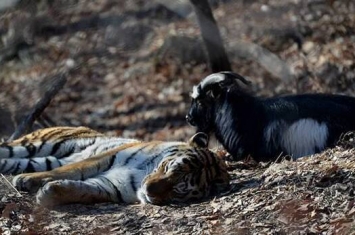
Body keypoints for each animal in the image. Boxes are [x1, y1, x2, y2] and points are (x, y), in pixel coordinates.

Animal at [0, 126, 231, 206]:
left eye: (177, 189)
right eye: (168, 169)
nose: (148, 190)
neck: (142, 175)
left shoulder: (113, 185)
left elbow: (84, 190)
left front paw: (48, 194)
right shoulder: (103, 158)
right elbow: (70, 170)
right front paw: (29, 180)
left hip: (37, 158)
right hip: (38, 144)